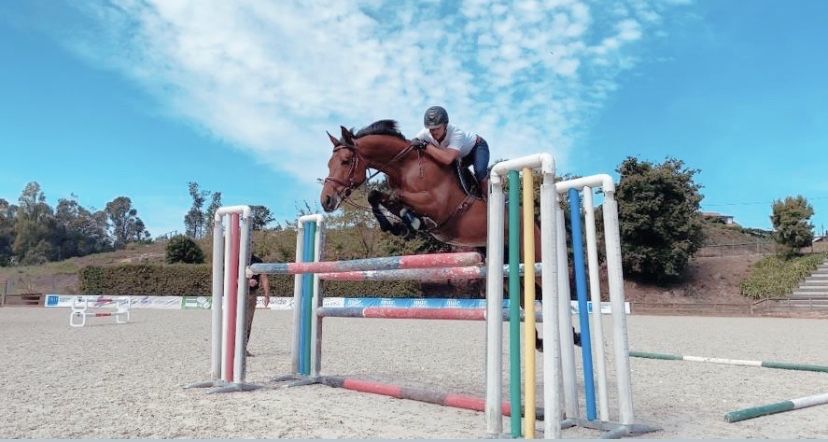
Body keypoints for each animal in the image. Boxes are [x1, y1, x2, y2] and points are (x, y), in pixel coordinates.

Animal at [320, 120, 577, 350]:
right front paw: (398, 225)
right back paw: (540, 341)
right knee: (522, 296)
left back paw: (572, 336)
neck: (406, 166)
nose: (326, 201)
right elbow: (377, 195)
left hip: (535, 257)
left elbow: (397, 196)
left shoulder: (436, 204)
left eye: (345, 161)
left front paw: (412, 220)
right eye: (329, 163)